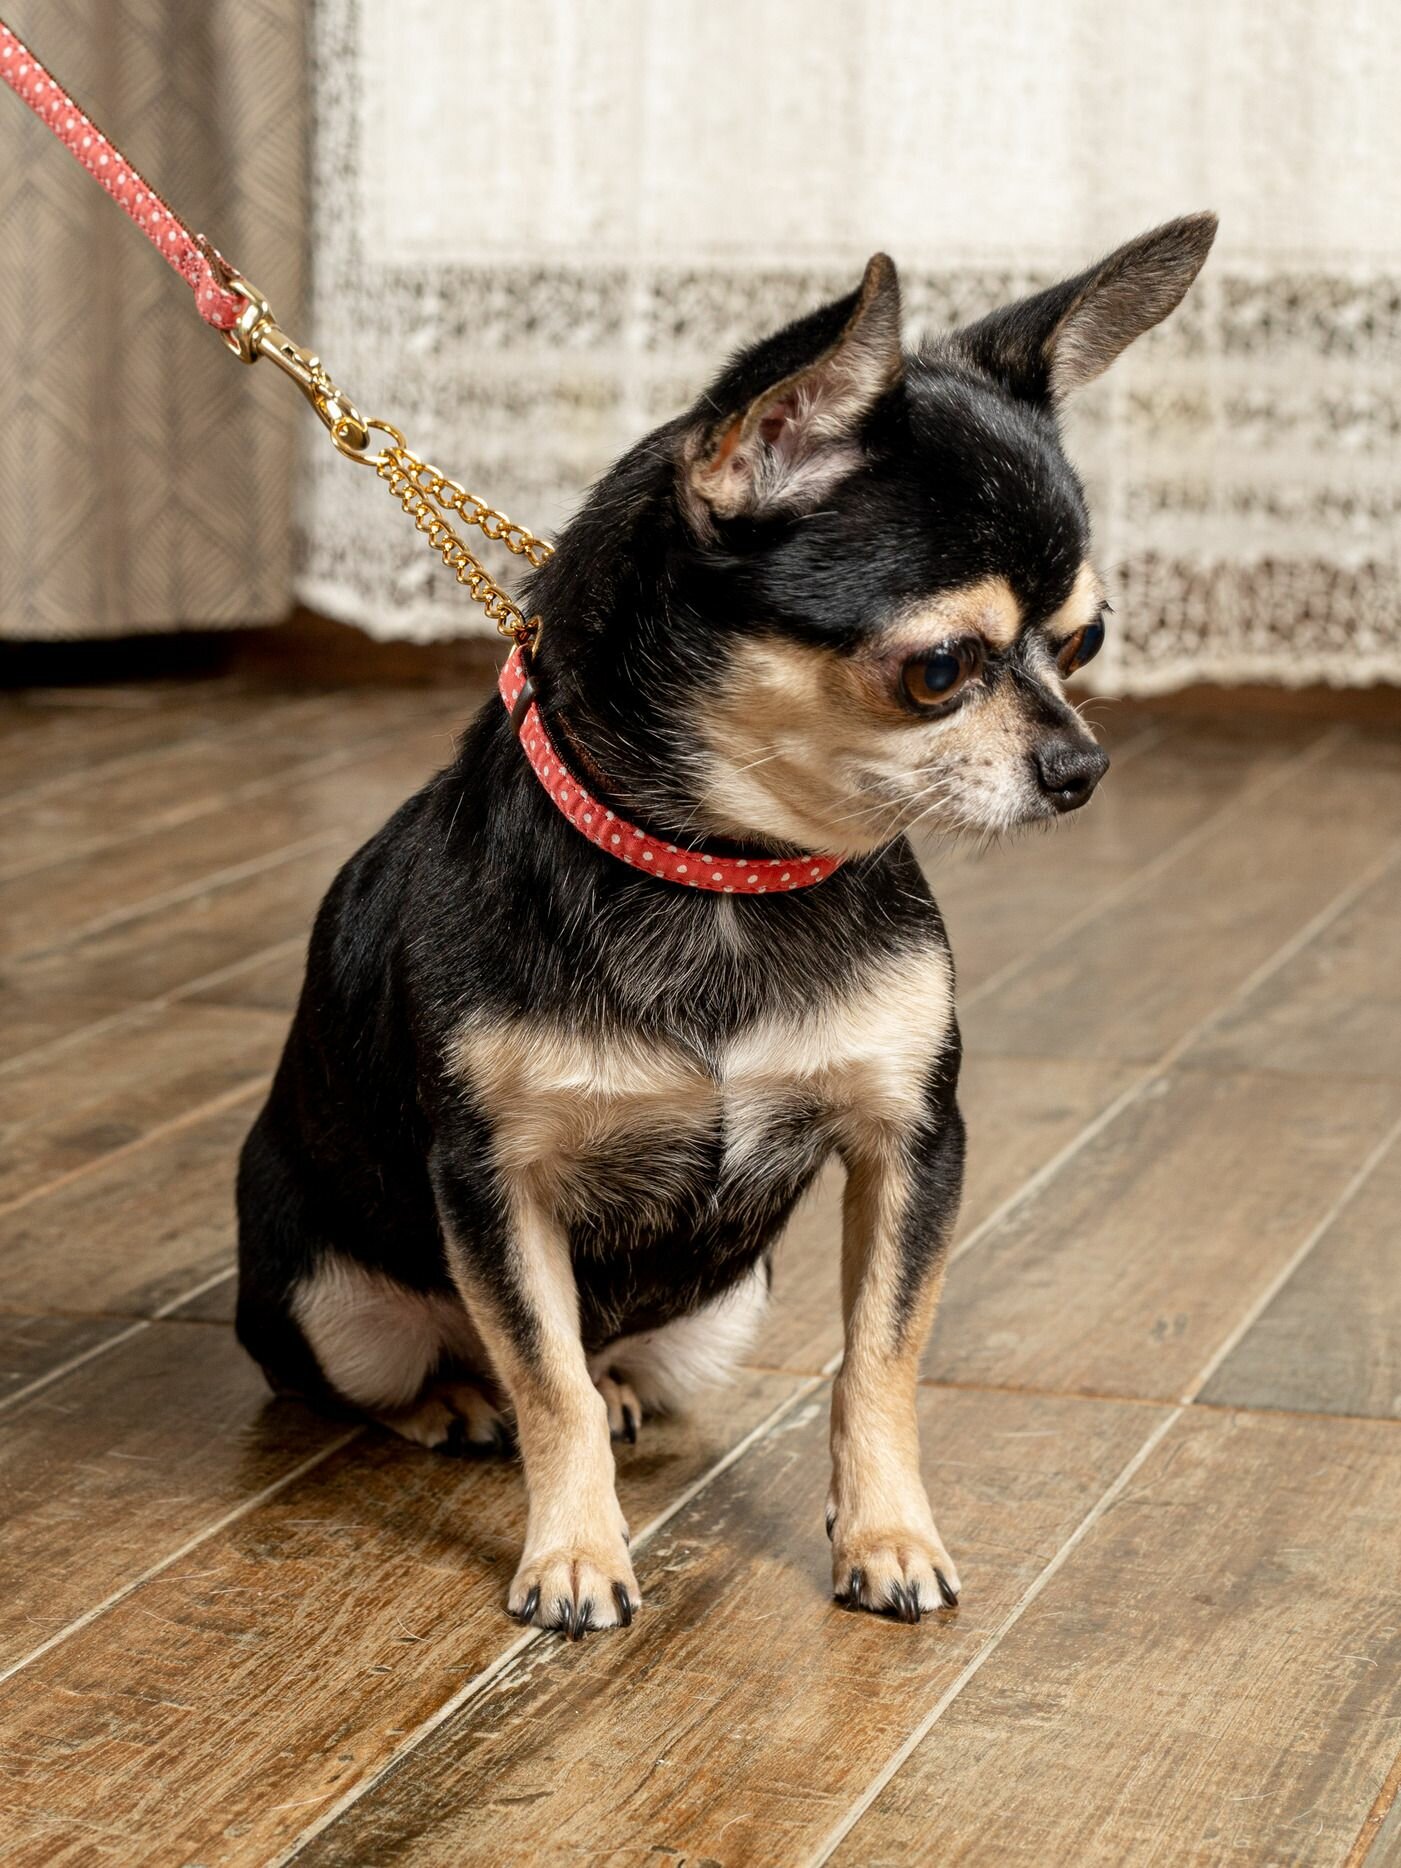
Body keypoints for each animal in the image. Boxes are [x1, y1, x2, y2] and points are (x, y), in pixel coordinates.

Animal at [236, 213, 1217, 1636]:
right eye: (939, 670)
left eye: (1083, 643)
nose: (1083, 766)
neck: (723, 875)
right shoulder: (494, 1184)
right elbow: (545, 1375)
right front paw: (574, 1553)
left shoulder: (909, 1143)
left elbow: (879, 1356)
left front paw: (889, 1535)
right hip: (329, 1297)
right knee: (424, 1370)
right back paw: (457, 1395)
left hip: (720, 1313)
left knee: (611, 1361)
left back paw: (620, 1385)